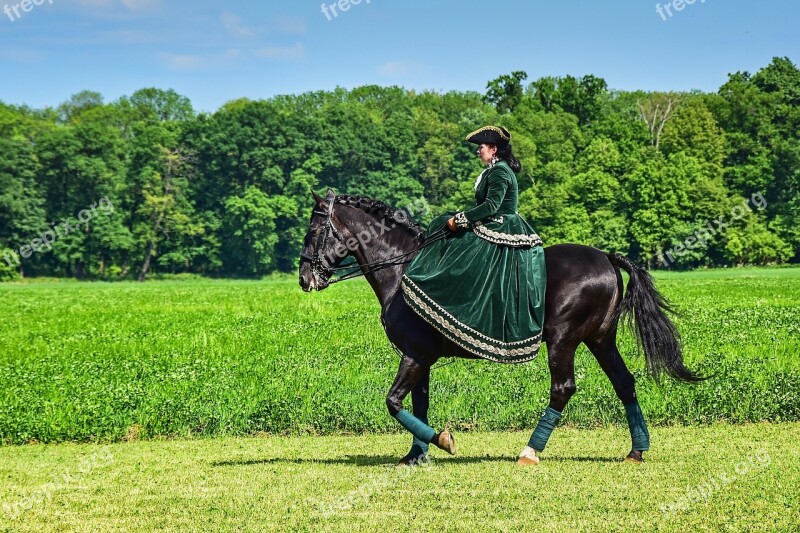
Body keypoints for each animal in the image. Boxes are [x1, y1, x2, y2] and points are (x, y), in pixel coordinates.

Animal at [300, 189, 700, 464]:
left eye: (314, 229)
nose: (305, 279)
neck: (402, 270)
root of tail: (605, 256)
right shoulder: (421, 357)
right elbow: (417, 403)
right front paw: (416, 455)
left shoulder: (414, 354)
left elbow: (394, 402)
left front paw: (443, 442)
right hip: (600, 339)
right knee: (624, 383)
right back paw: (636, 450)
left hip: (563, 341)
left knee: (563, 389)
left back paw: (530, 452)